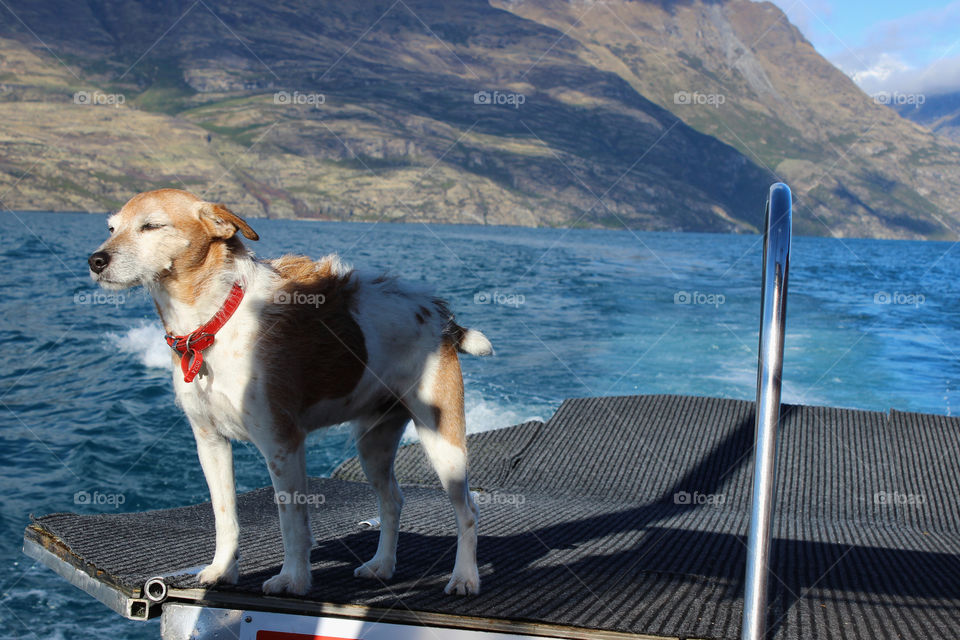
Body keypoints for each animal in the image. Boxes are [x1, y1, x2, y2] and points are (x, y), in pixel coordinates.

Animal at [86, 189, 492, 596]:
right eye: (111, 228)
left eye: (152, 225)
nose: (95, 260)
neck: (212, 321)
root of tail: (439, 314)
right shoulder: (210, 443)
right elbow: (224, 516)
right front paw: (222, 571)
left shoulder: (282, 443)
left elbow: (292, 522)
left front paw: (293, 579)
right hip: (373, 443)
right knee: (392, 501)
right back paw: (382, 565)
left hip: (444, 442)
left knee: (468, 511)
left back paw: (464, 577)